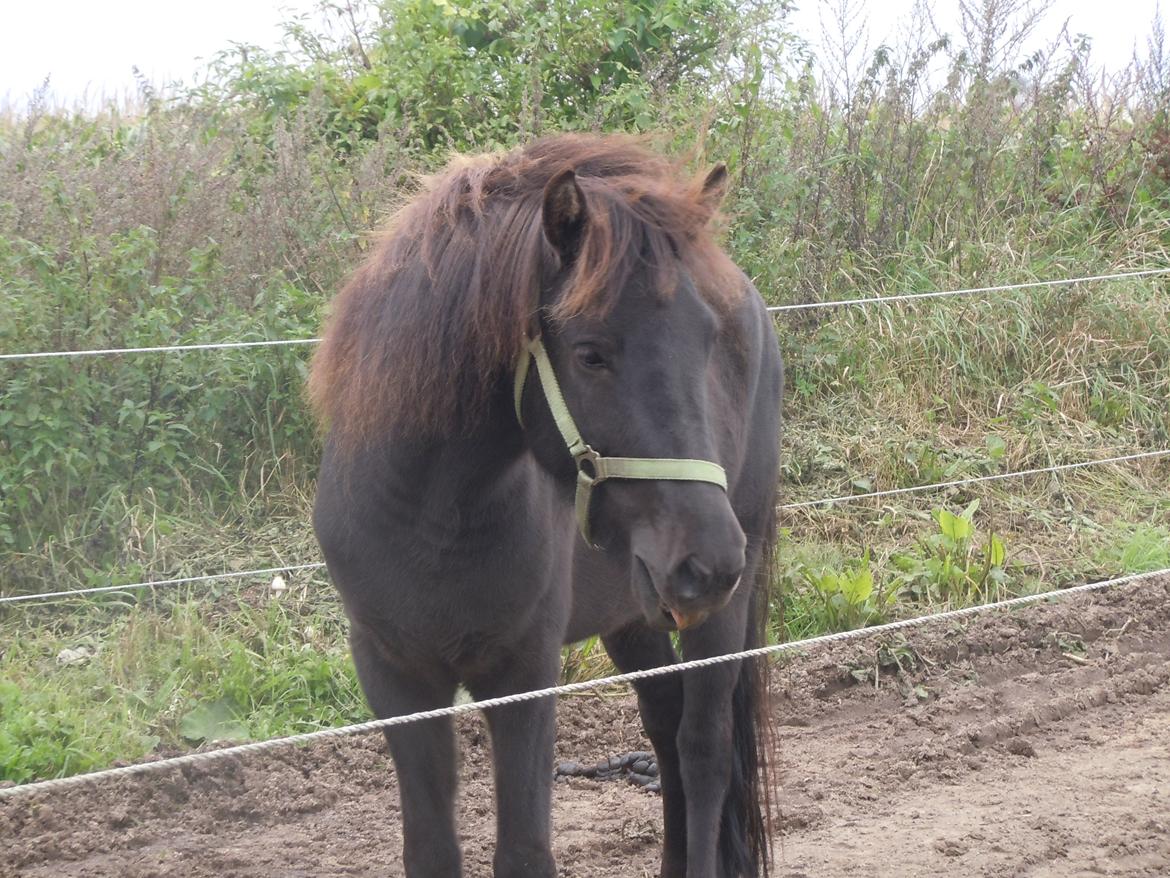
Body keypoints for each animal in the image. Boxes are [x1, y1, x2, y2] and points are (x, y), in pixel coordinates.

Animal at [311, 132, 786, 878]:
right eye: (590, 354)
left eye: (711, 343)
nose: (707, 560)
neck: (431, 519)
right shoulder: (395, 677)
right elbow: (431, 849)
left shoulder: (525, 676)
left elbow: (525, 851)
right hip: (636, 610)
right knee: (665, 724)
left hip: (722, 604)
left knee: (703, 749)